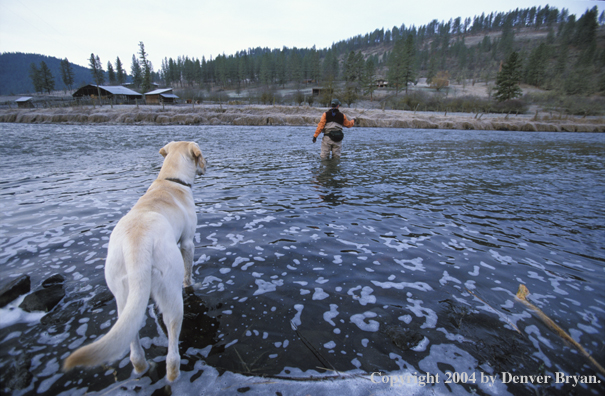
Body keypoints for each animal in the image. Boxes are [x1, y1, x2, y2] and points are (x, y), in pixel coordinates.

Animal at [62, 141, 206, 382]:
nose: (207, 166)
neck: (170, 180)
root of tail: (136, 244)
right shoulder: (187, 242)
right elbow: (189, 272)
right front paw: (192, 283)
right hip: (172, 296)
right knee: (172, 354)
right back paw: (173, 375)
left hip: (124, 295)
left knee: (133, 346)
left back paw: (142, 368)